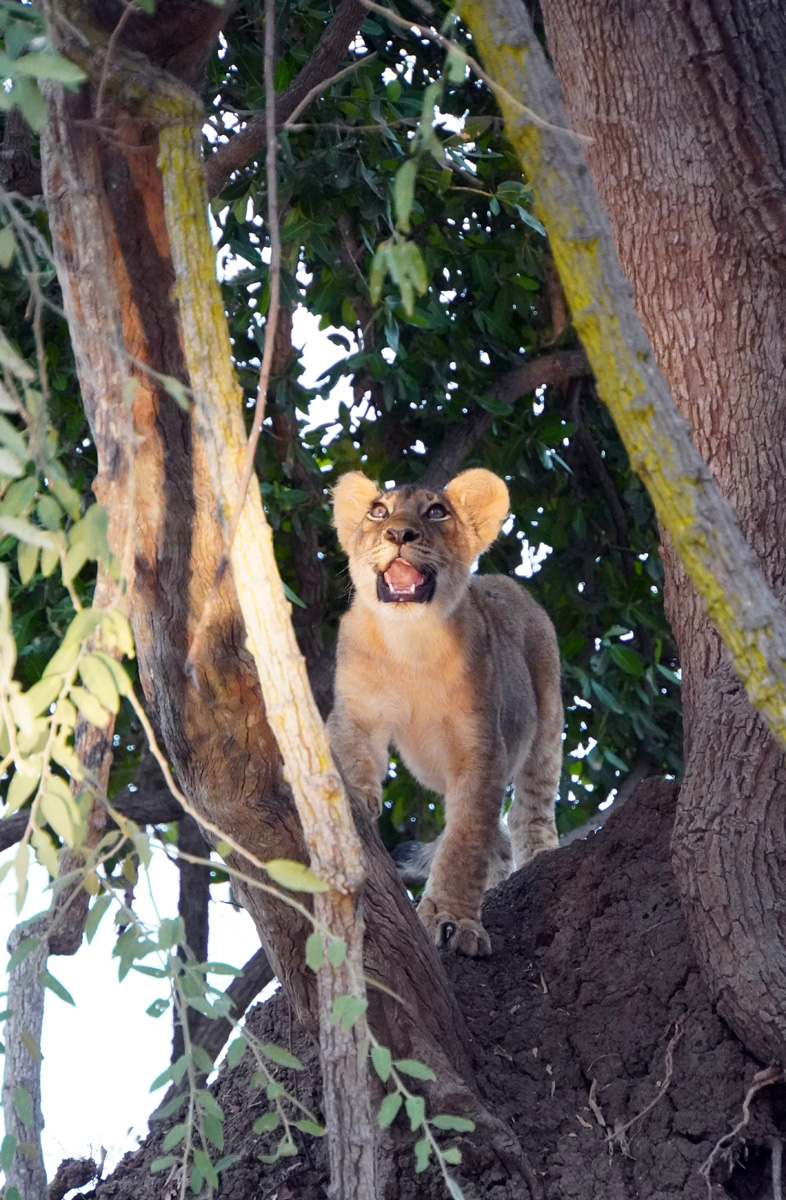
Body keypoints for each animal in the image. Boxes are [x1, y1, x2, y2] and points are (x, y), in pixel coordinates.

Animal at [327, 468, 563, 956]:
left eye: (436, 512)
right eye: (378, 511)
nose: (398, 533)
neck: (409, 641)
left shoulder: (481, 750)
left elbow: (463, 843)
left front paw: (452, 922)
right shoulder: (356, 710)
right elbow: (352, 753)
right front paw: (357, 799)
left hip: (547, 720)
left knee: (529, 806)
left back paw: (541, 856)